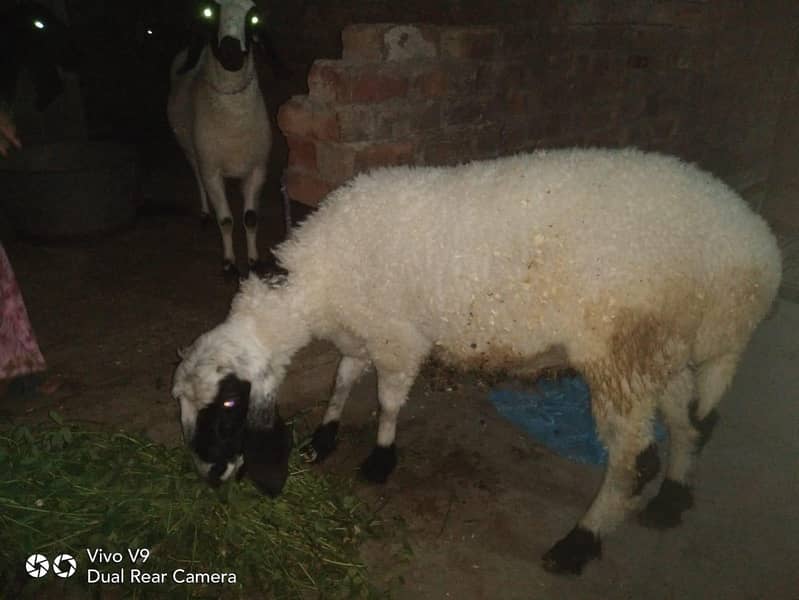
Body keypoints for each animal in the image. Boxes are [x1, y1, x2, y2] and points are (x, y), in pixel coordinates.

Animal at [167, 0, 273, 279]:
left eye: (253, 18)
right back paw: (205, 213)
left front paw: (254, 260)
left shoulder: (257, 169)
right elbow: (225, 220)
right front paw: (229, 263)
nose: (231, 51)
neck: (234, 123)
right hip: (191, 150)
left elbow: (250, 218)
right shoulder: (212, 171)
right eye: (210, 13)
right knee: (197, 177)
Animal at [172, 147, 782, 574]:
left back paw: (579, 542)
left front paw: (381, 459)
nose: (210, 478)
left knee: (634, 460)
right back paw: (673, 498)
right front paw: (323, 437)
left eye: (229, 406)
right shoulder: (363, 331)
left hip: (621, 352)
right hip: (665, 346)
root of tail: (758, 257)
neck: (315, 284)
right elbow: (343, 379)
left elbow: (388, 400)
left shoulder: (397, 337)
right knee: (688, 422)